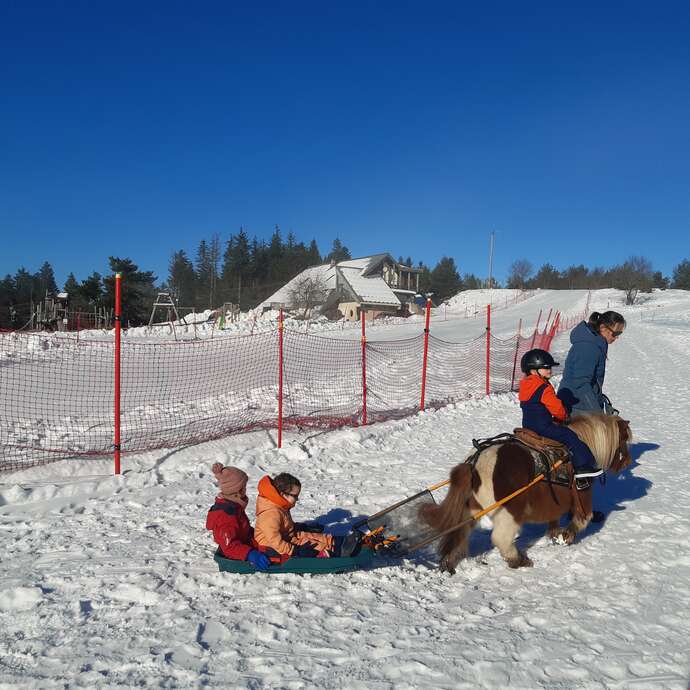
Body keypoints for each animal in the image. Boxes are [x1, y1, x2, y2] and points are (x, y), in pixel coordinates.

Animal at [420, 414, 628, 568]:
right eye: (624, 439)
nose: (626, 463)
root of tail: (475, 464)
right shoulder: (582, 494)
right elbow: (583, 518)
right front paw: (566, 537)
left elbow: (554, 521)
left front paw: (555, 535)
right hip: (508, 513)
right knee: (501, 538)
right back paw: (518, 560)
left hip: (471, 510)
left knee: (460, 533)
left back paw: (449, 562)